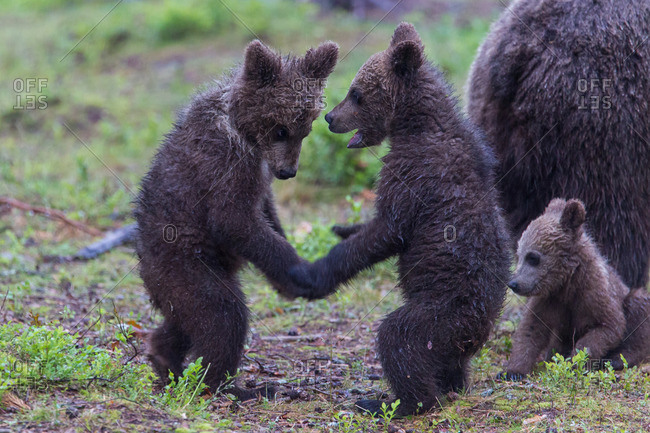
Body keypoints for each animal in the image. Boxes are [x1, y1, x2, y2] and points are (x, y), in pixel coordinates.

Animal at [134, 39, 338, 400]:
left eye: (306, 129)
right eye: (281, 128)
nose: (288, 172)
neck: (244, 130)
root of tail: (145, 268)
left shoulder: (261, 176)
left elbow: (266, 212)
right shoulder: (224, 163)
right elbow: (233, 220)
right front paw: (298, 274)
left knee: (185, 320)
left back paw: (164, 359)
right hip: (185, 265)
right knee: (222, 313)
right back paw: (230, 386)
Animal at [289, 23, 511, 416]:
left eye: (356, 94)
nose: (330, 118)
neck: (415, 126)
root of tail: (478, 334)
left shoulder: (414, 177)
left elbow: (387, 232)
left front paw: (313, 274)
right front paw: (342, 227)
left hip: (443, 313)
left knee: (399, 337)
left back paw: (391, 401)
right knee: (443, 363)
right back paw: (450, 384)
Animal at [503, 198, 650, 379]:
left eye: (533, 257)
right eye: (519, 254)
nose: (514, 283)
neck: (567, 282)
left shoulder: (594, 294)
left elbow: (608, 327)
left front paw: (574, 363)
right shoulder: (549, 300)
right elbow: (530, 329)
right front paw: (512, 371)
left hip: (631, 298)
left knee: (638, 309)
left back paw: (617, 360)